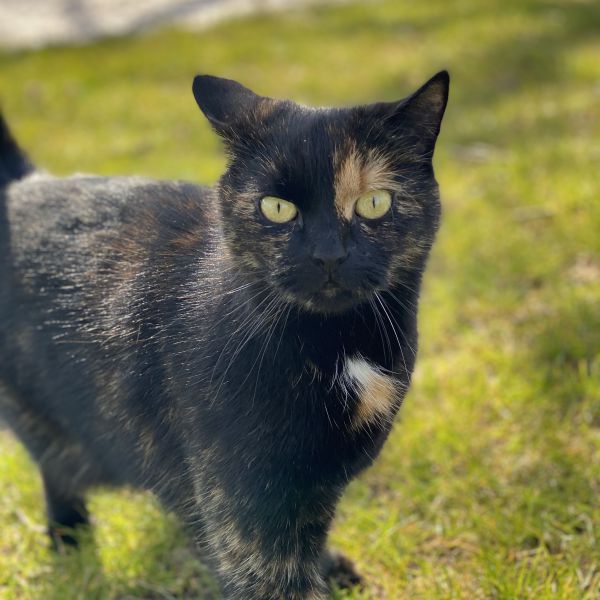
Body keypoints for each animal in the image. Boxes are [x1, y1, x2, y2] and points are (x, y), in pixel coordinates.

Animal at [0, 71, 448, 600]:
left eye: (374, 203)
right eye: (276, 208)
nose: (327, 255)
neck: (340, 345)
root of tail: (25, 184)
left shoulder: (309, 488)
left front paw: (325, 566)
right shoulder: (244, 501)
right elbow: (272, 578)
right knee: (57, 470)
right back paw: (68, 538)